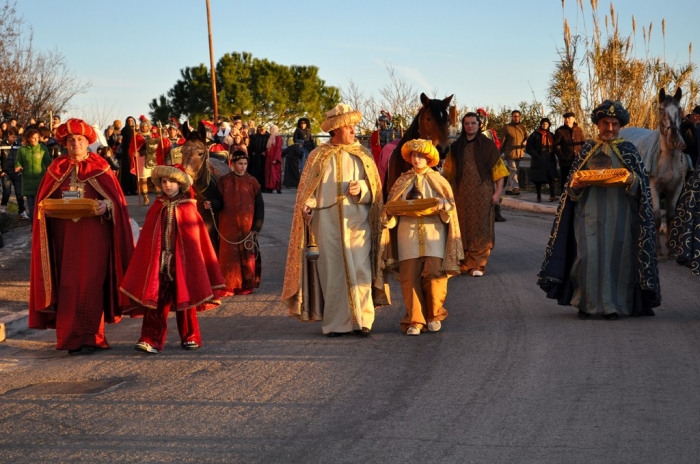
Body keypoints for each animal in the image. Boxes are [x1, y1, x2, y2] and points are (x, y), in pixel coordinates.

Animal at [620, 88, 688, 258]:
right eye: (661, 110)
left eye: (679, 110)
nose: (675, 139)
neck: (668, 158)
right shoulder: (653, 187)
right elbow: (656, 218)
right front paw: (658, 250)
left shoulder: (676, 187)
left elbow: (670, 215)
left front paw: (670, 249)